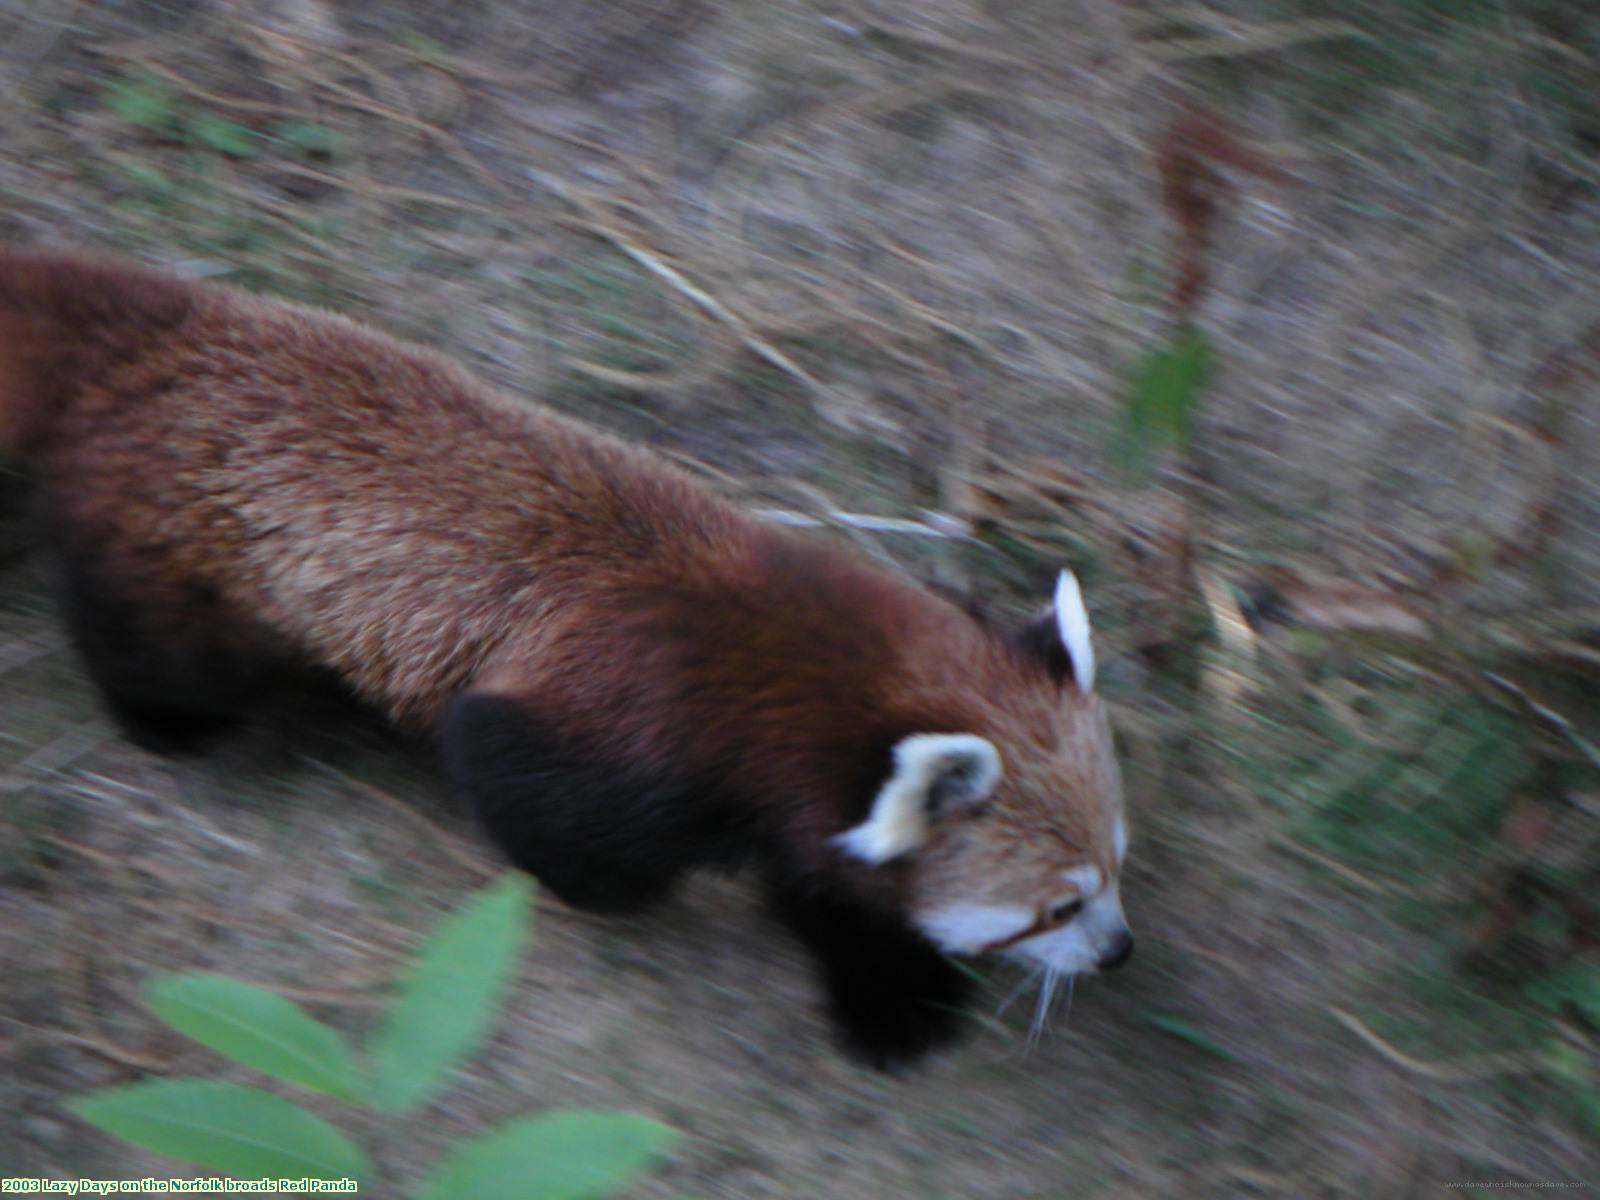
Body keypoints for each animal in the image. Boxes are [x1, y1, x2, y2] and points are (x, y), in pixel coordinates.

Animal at [0, 246, 1132, 1068]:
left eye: (1118, 864)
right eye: (1058, 905)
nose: (1119, 950)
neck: (779, 649)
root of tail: (161, 325)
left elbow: (819, 884)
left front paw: (893, 988)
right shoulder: (628, 725)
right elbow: (531, 797)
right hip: (184, 553)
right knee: (158, 648)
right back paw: (177, 722)